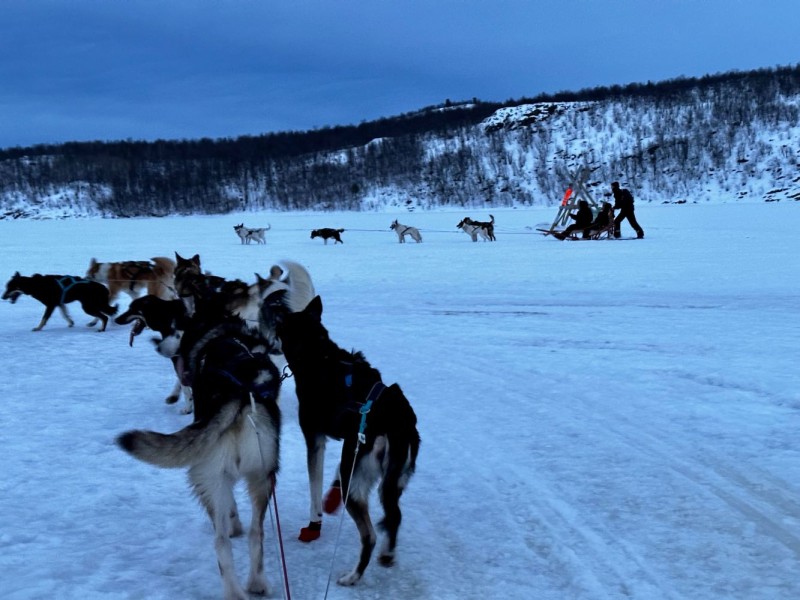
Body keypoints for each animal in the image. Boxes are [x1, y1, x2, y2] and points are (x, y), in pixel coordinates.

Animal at [117, 310, 282, 600]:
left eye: (174, 329)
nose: (158, 347)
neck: (226, 336)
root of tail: (238, 395)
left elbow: (230, 510)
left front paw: (233, 524)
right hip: (262, 478)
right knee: (256, 534)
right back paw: (257, 583)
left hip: (206, 478)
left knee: (221, 542)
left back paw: (233, 591)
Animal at [266, 292, 422, 584]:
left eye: (277, 329)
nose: (268, 343)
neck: (318, 355)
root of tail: (398, 420)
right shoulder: (349, 446)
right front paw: (331, 497)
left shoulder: (315, 439)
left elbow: (314, 487)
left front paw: (314, 523)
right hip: (393, 481)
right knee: (394, 516)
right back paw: (387, 555)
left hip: (362, 479)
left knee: (370, 535)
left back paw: (353, 576)